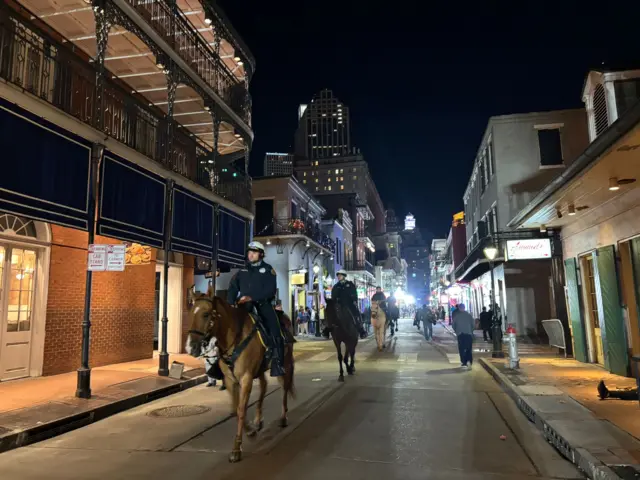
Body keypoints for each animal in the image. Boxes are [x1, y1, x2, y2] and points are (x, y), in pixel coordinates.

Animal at [185, 286, 296, 464]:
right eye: (190, 313)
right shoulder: (231, 380)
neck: (234, 337)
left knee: (284, 387)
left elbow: (242, 409)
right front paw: (250, 430)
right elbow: (235, 409)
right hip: (259, 370)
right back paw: (258, 420)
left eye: (206, 314)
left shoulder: (245, 378)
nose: (191, 347)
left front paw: (237, 448)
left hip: (284, 364)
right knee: (264, 387)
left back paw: (283, 417)